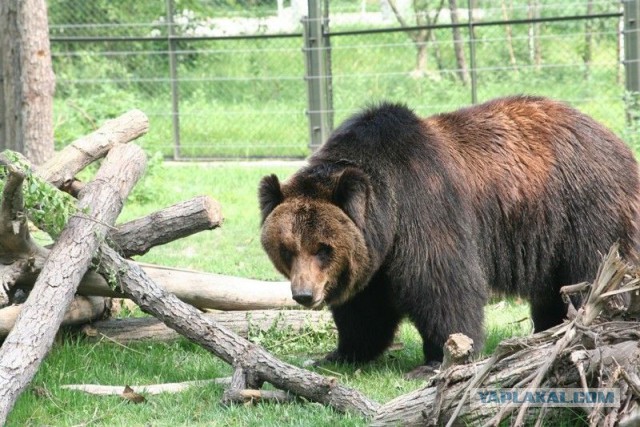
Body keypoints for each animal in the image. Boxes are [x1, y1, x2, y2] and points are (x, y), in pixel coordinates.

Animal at [256, 95, 640, 370]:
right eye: (287, 249)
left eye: (323, 248)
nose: (304, 294)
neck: (387, 212)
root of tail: (614, 139)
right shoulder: (373, 252)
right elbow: (365, 306)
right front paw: (340, 353)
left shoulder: (424, 205)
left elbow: (441, 283)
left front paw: (439, 358)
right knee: (551, 289)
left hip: (585, 210)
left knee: (593, 273)